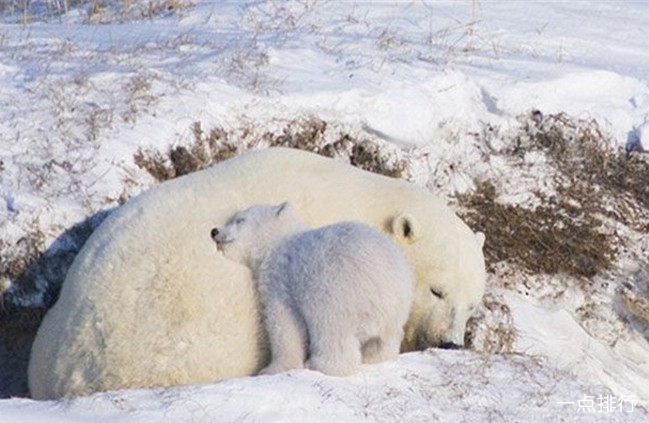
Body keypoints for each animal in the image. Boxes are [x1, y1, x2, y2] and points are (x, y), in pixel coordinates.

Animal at [213, 204, 416, 376]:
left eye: (240, 219)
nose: (214, 231)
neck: (278, 244)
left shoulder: (282, 281)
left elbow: (284, 325)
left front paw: (272, 369)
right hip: (395, 313)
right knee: (385, 341)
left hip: (335, 293)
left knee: (331, 331)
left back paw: (318, 364)